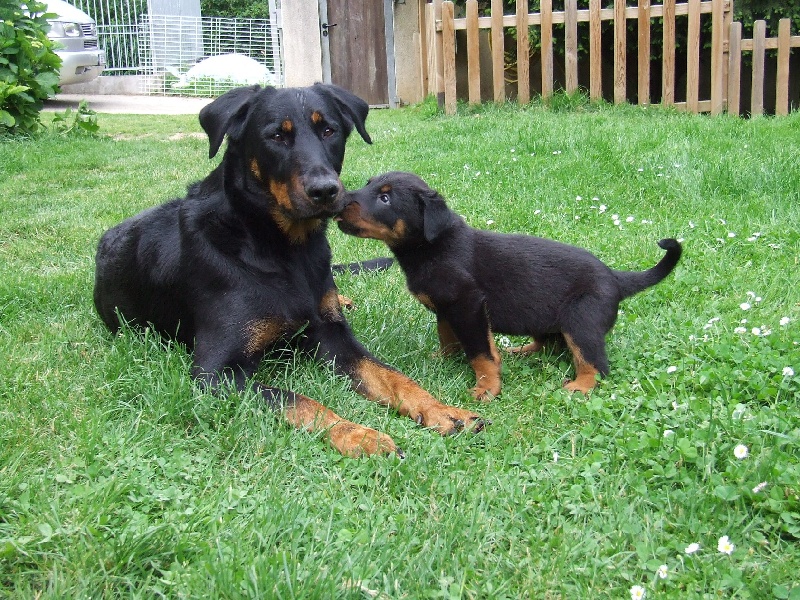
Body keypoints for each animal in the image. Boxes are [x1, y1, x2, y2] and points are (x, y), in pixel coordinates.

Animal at [94, 86, 482, 458]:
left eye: (329, 130)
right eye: (277, 136)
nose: (326, 191)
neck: (282, 249)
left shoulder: (332, 337)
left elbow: (392, 376)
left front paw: (442, 410)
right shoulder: (215, 373)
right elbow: (301, 401)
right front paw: (359, 435)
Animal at [338, 170, 680, 398]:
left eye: (385, 198)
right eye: (368, 185)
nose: (340, 201)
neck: (429, 247)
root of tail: (614, 276)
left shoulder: (469, 304)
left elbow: (481, 352)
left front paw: (486, 387)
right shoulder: (448, 308)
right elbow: (448, 336)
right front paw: (443, 359)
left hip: (582, 319)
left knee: (594, 362)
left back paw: (578, 386)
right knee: (548, 343)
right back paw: (520, 351)